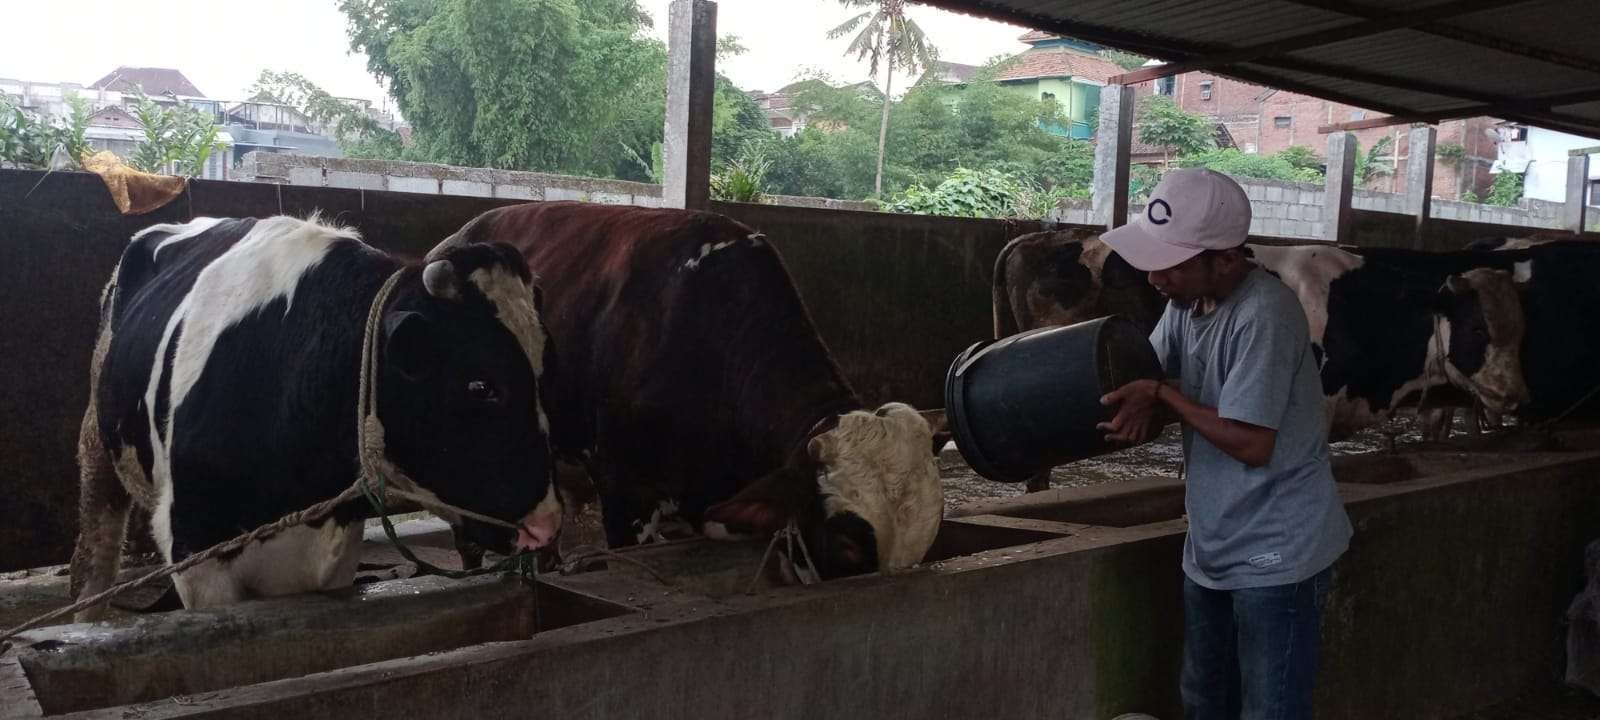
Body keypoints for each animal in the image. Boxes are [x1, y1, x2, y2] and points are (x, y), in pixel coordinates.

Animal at [72, 214, 566, 617]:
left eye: (547, 373)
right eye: (480, 386)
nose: (546, 526)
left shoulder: (329, 557)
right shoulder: (196, 555)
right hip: (97, 448)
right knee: (92, 563)